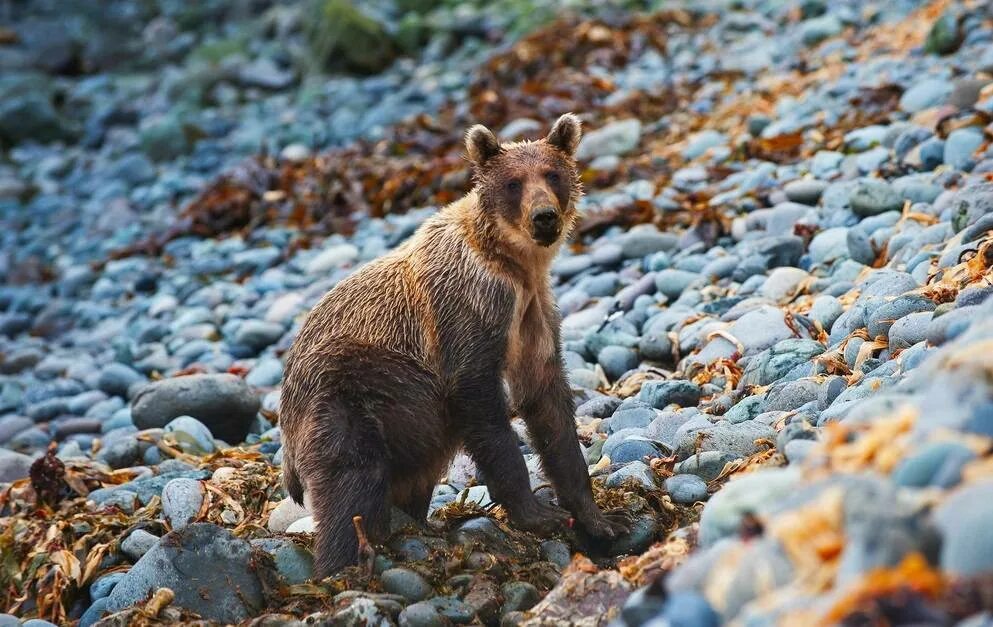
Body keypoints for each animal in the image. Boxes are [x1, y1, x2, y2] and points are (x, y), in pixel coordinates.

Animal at [280, 114, 624, 580]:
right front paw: (537, 512)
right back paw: (345, 565)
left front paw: (597, 520)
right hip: (350, 393)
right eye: (513, 183)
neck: (514, 263)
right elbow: (480, 400)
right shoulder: (470, 307)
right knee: (351, 485)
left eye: (552, 174)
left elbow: (549, 407)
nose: (544, 217)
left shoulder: (533, 313)